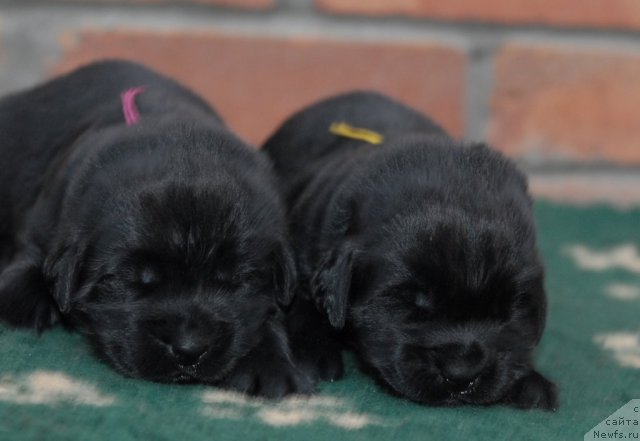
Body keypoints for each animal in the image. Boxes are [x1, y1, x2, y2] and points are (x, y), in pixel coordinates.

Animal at [0, 60, 310, 398]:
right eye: (137, 280)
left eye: (238, 279)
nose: (189, 349)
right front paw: (29, 301)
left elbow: (270, 312)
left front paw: (270, 366)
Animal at [262, 90, 556, 410]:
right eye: (410, 304)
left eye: (507, 310)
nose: (461, 374)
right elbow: (300, 303)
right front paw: (316, 356)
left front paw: (531, 382)